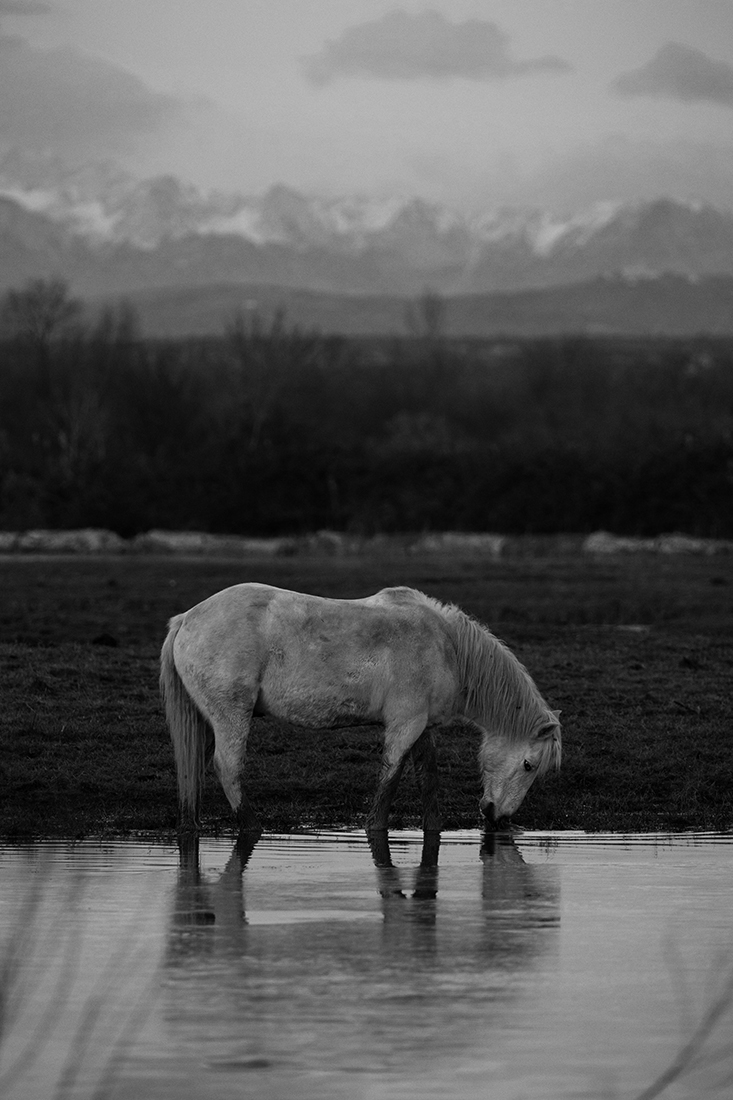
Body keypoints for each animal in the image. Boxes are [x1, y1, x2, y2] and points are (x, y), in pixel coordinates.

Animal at [159, 582, 561, 834]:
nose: (498, 817)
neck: (448, 648)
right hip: (232, 717)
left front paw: (434, 827)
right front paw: (375, 829)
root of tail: (186, 619)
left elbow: (428, 780)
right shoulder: (404, 725)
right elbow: (389, 781)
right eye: (529, 765)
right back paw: (253, 828)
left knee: (192, 771)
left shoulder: (422, 726)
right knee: (227, 768)